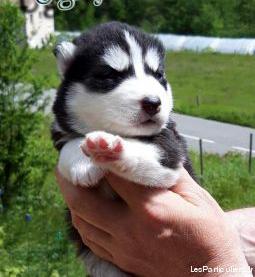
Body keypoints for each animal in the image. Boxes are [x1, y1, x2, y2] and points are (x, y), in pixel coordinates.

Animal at [51, 21, 195, 276]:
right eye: (110, 75)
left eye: (158, 75)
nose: (153, 103)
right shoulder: (61, 131)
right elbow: (70, 142)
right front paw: (82, 160)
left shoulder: (171, 147)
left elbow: (145, 151)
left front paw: (109, 149)